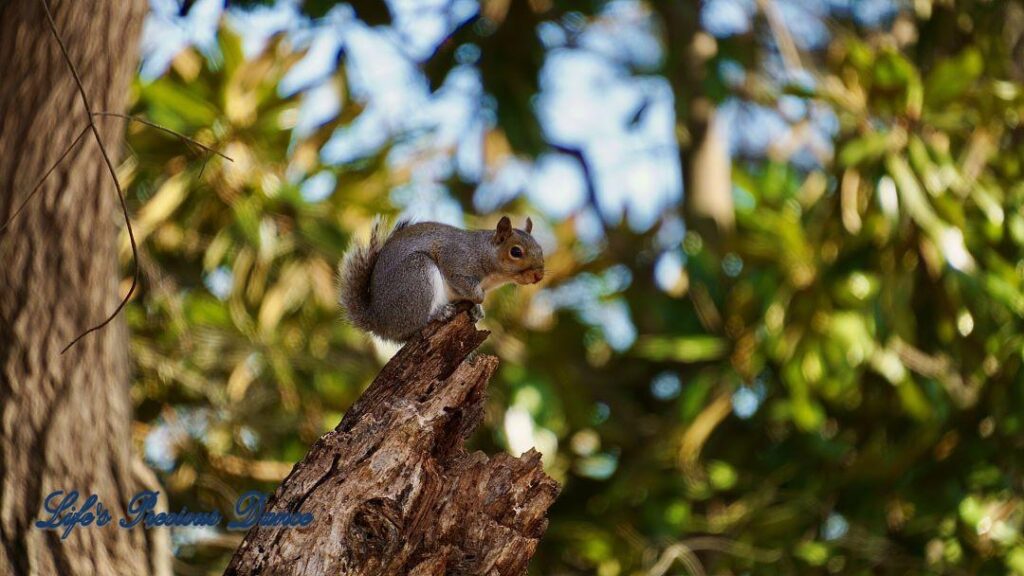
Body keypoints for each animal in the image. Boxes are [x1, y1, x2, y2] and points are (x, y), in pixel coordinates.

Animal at [335, 215, 544, 340]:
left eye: (541, 249)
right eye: (515, 252)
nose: (539, 275)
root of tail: (379, 320)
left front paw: (476, 309)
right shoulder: (455, 260)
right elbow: (462, 281)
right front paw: (479, 298)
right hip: (416, 277)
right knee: (415, 322)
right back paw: (439, 313)